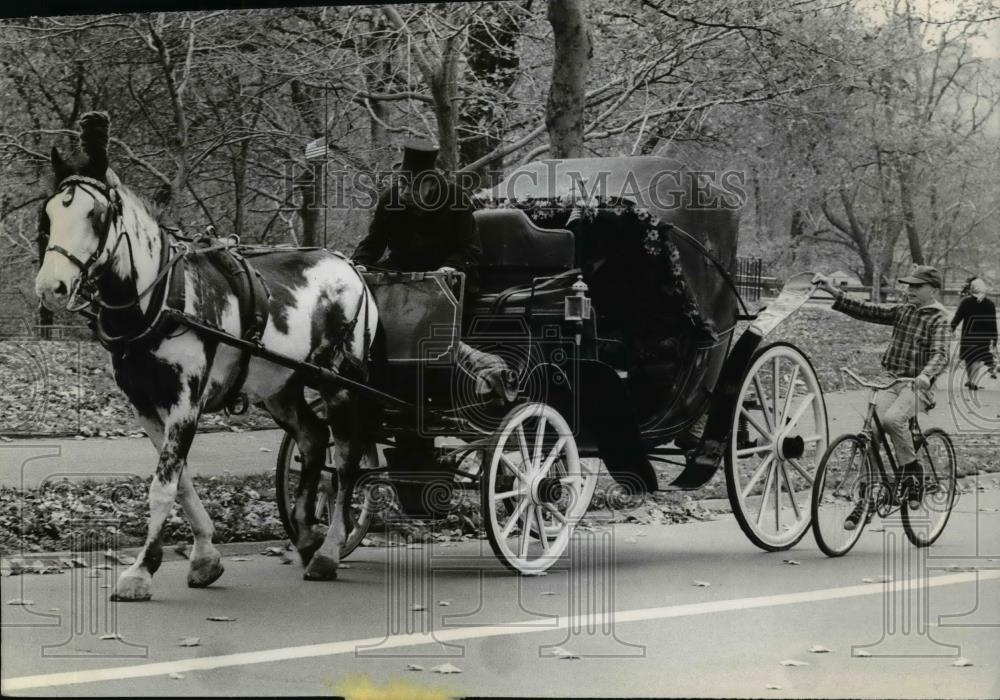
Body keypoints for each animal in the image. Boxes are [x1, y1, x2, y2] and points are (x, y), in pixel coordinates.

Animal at [35, 112, 378, 600]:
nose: (51, 287)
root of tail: (351, 268)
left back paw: (328, 550)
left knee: (346, 460)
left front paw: (142, 569)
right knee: (313, 440)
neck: (159, 296)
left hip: (340, 383)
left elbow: (163, 486)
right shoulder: (145, 405)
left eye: (95, 214)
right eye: (48, 213)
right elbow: (179, 481)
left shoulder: (185, 401)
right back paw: (306, 535)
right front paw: (204, 557)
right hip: (281, 386)